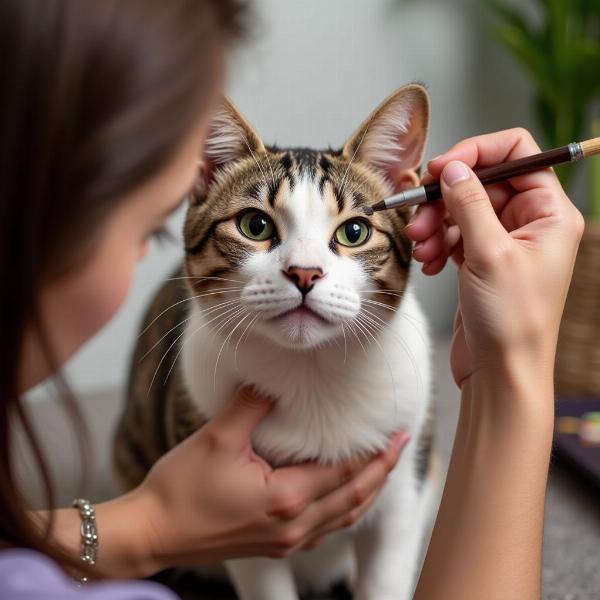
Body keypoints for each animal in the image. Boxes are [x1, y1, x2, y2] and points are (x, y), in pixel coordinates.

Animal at [115, 83, 436, 600]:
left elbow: (385, 573)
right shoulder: (239, 516)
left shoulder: (402, 487)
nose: (305, 273)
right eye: (255, 226)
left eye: (354, 231)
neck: (311, 372)